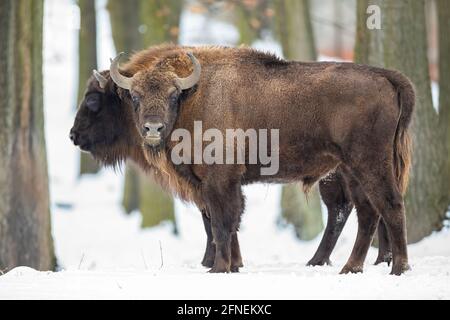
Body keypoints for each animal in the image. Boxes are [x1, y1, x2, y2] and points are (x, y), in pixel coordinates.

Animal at [106, 45, 414, 276]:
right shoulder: (215, 185)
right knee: (367, 212)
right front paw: (232, 266)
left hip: (369, 163)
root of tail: (385, 76)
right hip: (350, 169)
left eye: (172, 96)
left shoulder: (219, 181)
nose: (153, 128)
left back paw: (398, 268)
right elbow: (227, 223)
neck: (194, 95)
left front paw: (219, 268)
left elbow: (221, 224)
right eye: (135, 96)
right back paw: (351, 268)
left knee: (390, 205)